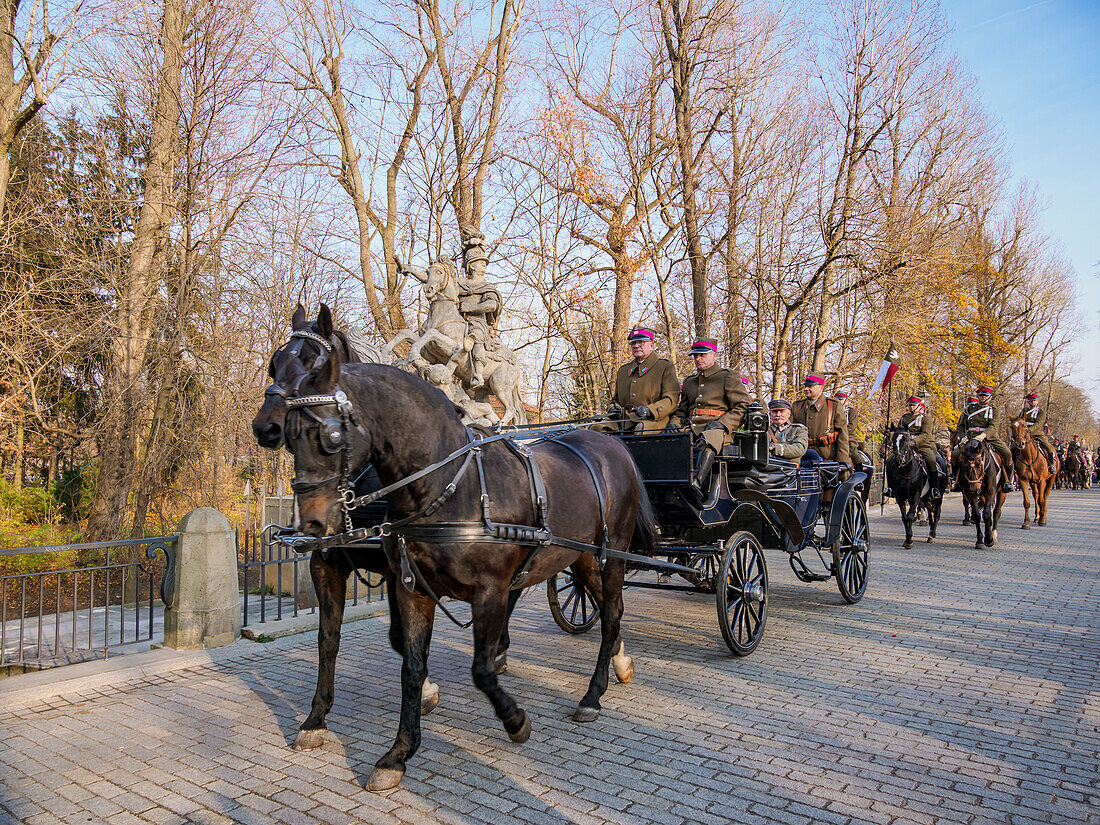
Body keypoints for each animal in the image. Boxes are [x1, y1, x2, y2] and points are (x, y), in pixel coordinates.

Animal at [286, 352, 660, 792]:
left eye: (329, 434)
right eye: (289, 433)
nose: (312, 523)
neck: (446, 485)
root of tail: (612, 442)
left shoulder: (489, 590)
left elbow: (479, 670)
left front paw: (515, 721)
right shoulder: (408, 587)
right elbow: (406, 664)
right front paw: (397, 753)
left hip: (612, 553)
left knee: (613, 611)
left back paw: (592, 695)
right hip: (578, 557)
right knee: (602, 607)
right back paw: (619, 663)